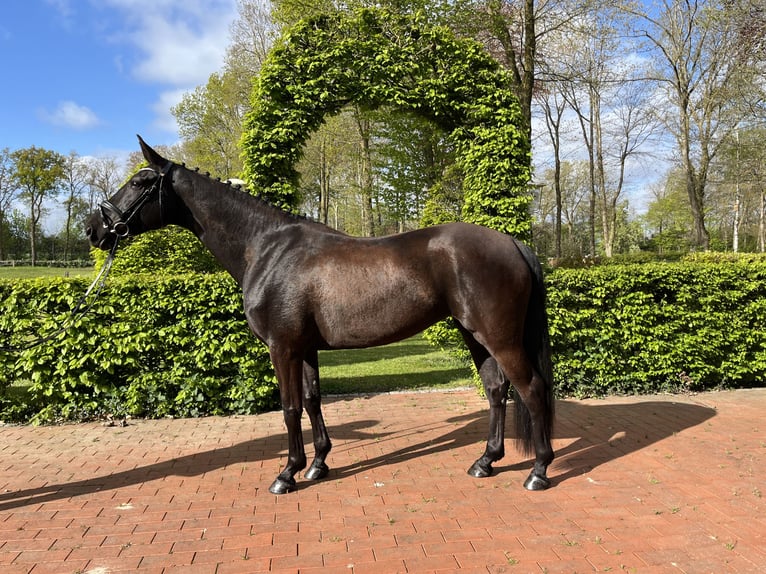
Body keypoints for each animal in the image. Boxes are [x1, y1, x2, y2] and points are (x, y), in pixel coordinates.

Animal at [86, 136, 555, 495]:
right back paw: (485, 461)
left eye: (140, 182)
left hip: (500, 337)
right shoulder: (305, 347)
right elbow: (312, 401)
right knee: (496, 390)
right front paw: (318, 465)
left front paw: (287, 474)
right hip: (474, 335)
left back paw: (538, 471)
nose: (94, 229)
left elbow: (290, 406)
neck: (267, 248)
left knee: (530, 389)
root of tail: (512, 243)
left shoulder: (282, 347)